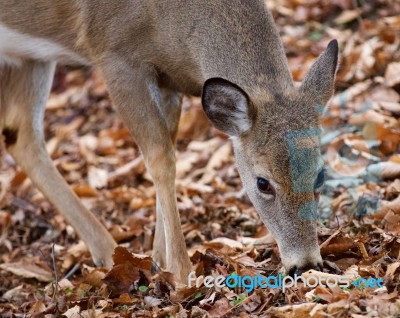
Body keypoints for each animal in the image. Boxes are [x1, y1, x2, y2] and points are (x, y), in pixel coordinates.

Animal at [0, 0, 338, 284]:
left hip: (30, 58)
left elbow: (167, 151)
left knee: (20, 134)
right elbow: (161, 157)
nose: (305, 264)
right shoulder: (113, 53)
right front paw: (181, 271)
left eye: (320, 174)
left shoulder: (167, 80)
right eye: (262, 183)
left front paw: (158, 260)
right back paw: (110, 254)